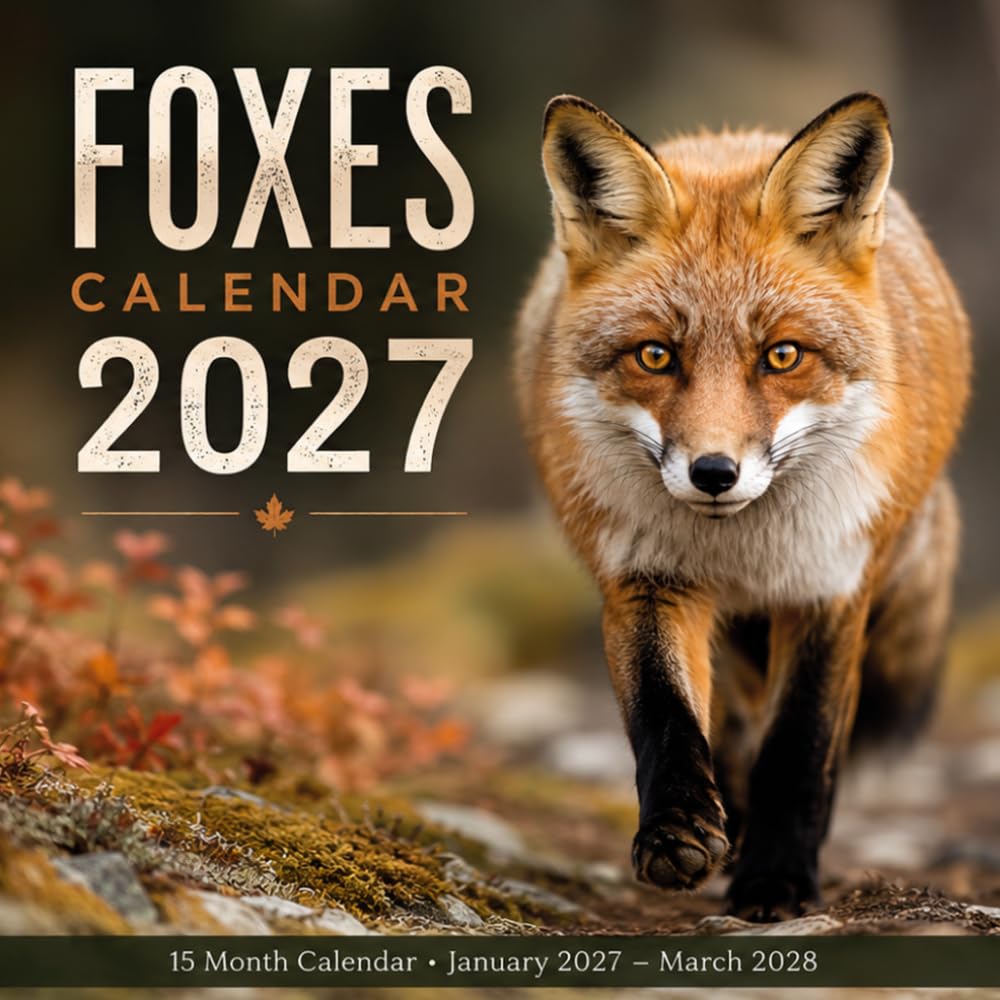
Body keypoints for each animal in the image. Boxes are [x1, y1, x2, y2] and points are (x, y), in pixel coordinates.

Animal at [515, 92, 971, 921]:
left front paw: (779, 880)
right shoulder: (644, 579)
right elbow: (664, 719)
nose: (714, 472)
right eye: (656, 355)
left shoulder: (829, 587)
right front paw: (677, 832)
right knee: (726, 722)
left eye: (782, 356)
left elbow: (800, 748)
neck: (740, 549)